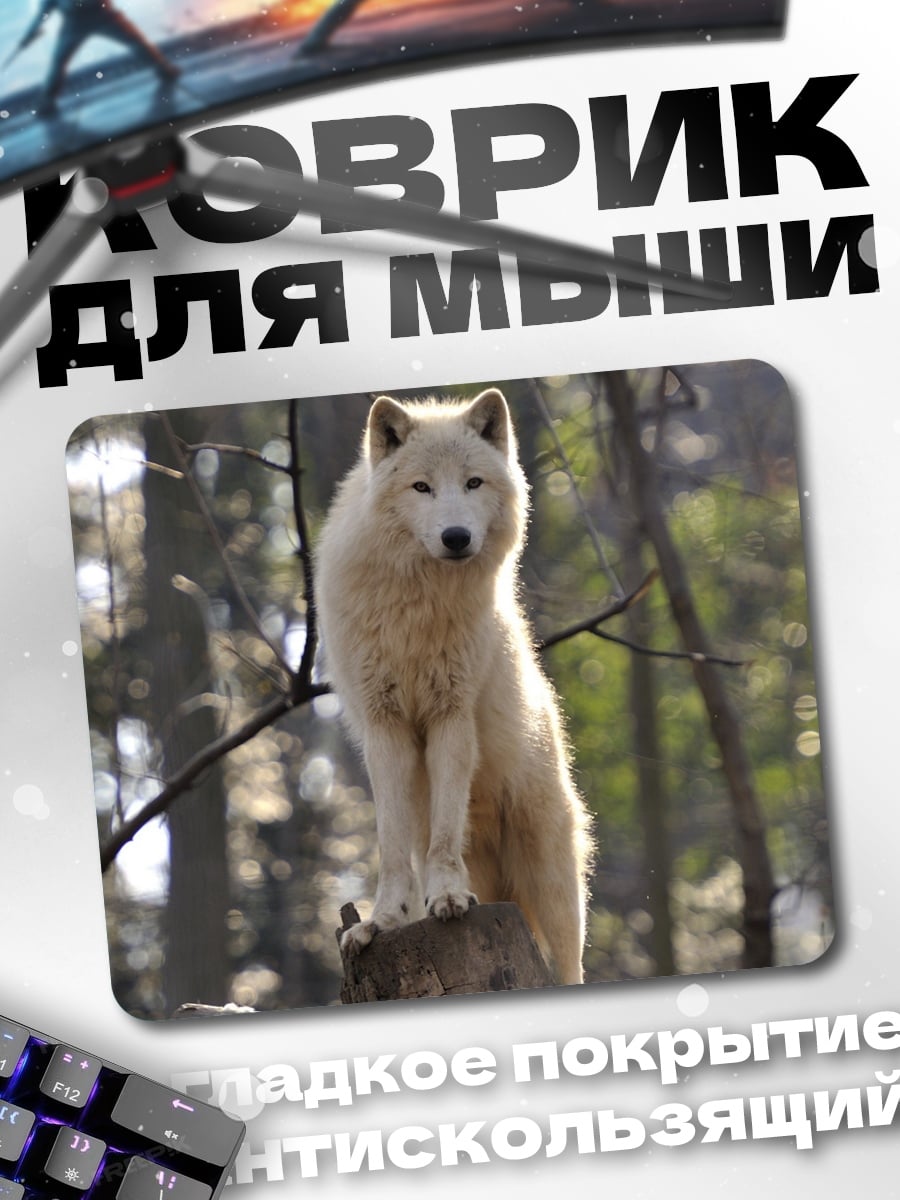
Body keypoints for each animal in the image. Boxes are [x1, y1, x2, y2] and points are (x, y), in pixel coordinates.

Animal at [314, 388, 592, 985]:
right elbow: (392, 847)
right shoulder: (386, 727)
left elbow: (446, 835)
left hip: (552, 877)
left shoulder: (451, 716)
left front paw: (446, 899)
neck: (418, 606)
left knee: (571, 963)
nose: (456, 537)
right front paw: (382, 922)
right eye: (421, 487)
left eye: (473, 483)